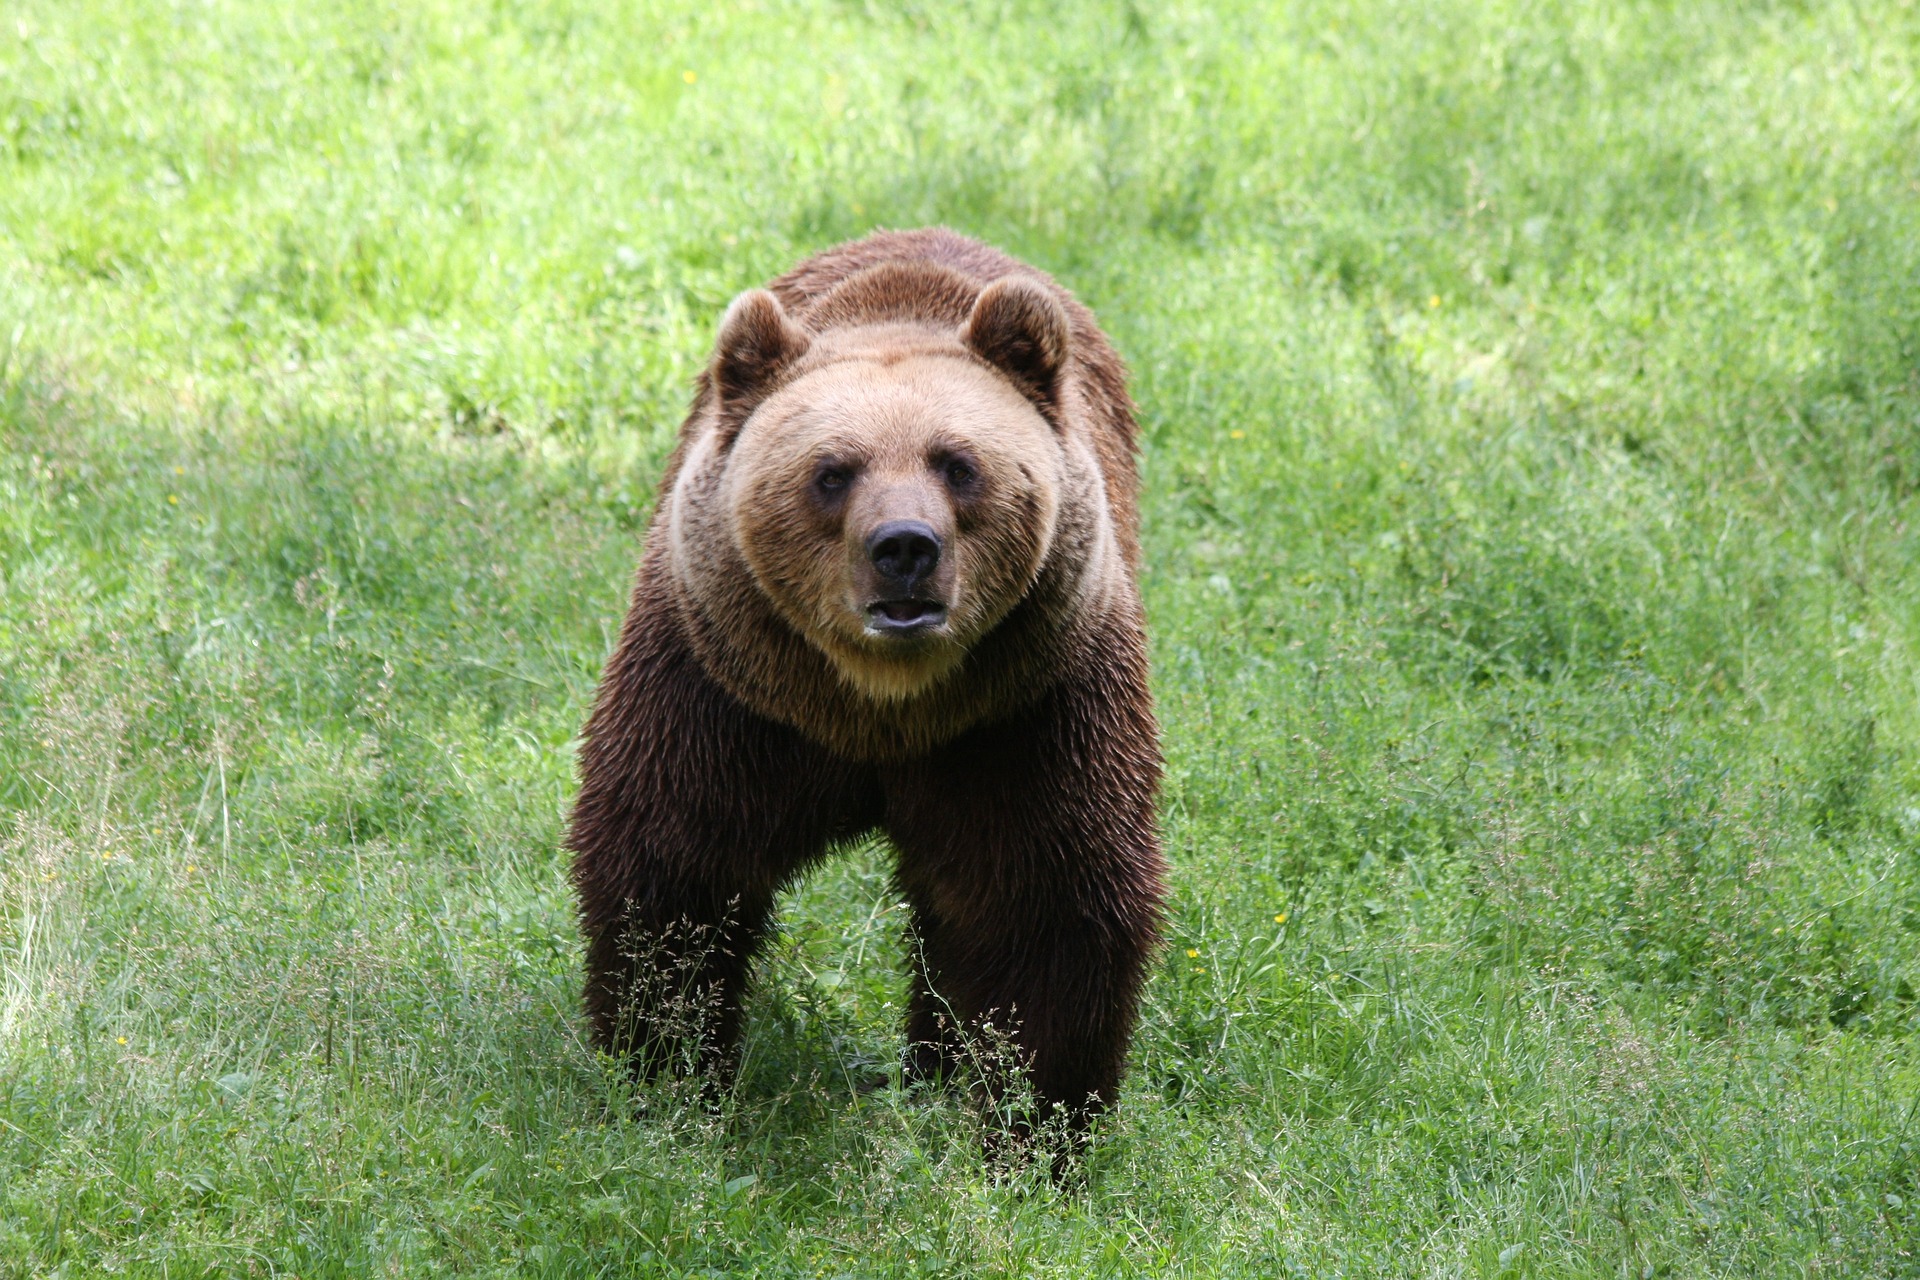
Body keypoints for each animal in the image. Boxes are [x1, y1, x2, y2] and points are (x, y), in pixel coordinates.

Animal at [568, 225, 1159, 1136]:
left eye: (957, 463)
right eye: (832, 471)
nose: (905, 547)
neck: (878, 707)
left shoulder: (1027, 714)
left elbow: (1046, 908)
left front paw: (1032, 1120)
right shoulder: (726, 696)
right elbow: (672, 871)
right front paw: (664, 1070)